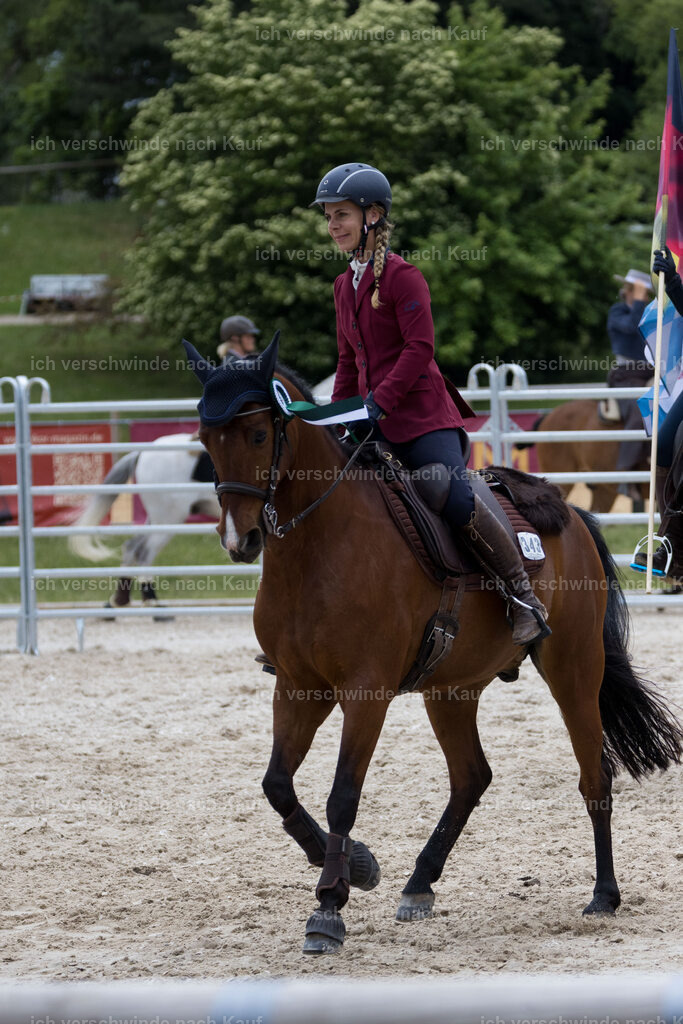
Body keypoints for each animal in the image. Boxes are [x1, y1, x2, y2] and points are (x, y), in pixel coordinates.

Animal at [68, 433, 217, 607]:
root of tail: (141, 453)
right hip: (167, 519)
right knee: (144, 552)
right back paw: (150, 599)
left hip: (156, 519)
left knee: (131, 546)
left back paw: (120, 599)